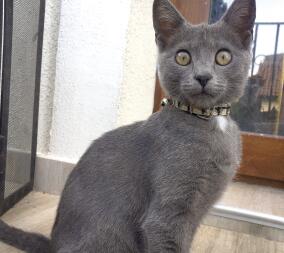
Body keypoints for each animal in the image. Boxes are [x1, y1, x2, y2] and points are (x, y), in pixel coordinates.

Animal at [0, 0, 256, 252]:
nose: (203, 76)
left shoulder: (193, 217)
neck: (209, 119)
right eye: (183, 57)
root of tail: (53, 244)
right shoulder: (165, 217)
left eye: (223, 57)